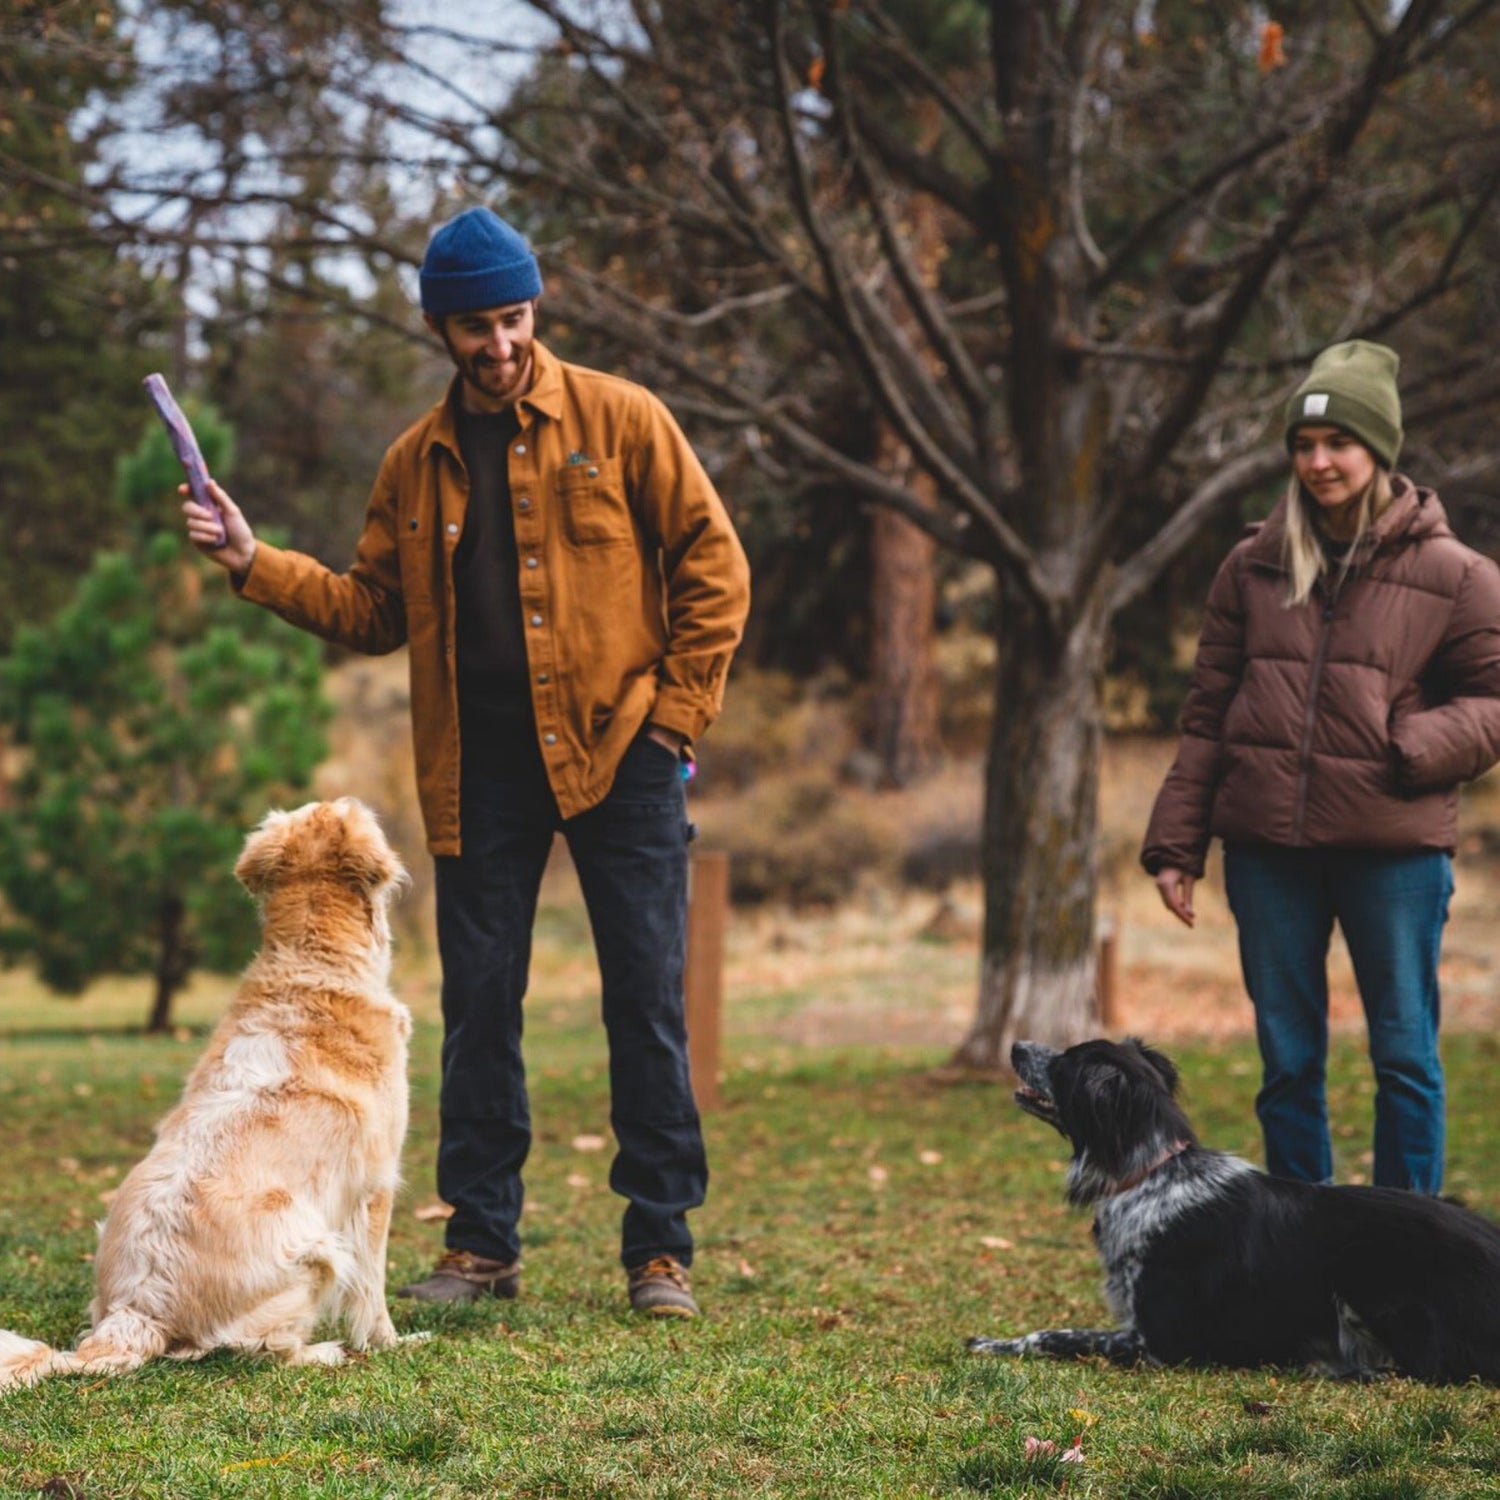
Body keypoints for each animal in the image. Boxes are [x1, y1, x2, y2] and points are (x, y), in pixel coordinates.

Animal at [966, 1044, 1500, 1380]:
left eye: (1063, 1062)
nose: (1016, 1045)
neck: (1155, 1173)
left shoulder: (1160, 1343)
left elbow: (1052, 1335)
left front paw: (994, 1343)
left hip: (1365, 1271)